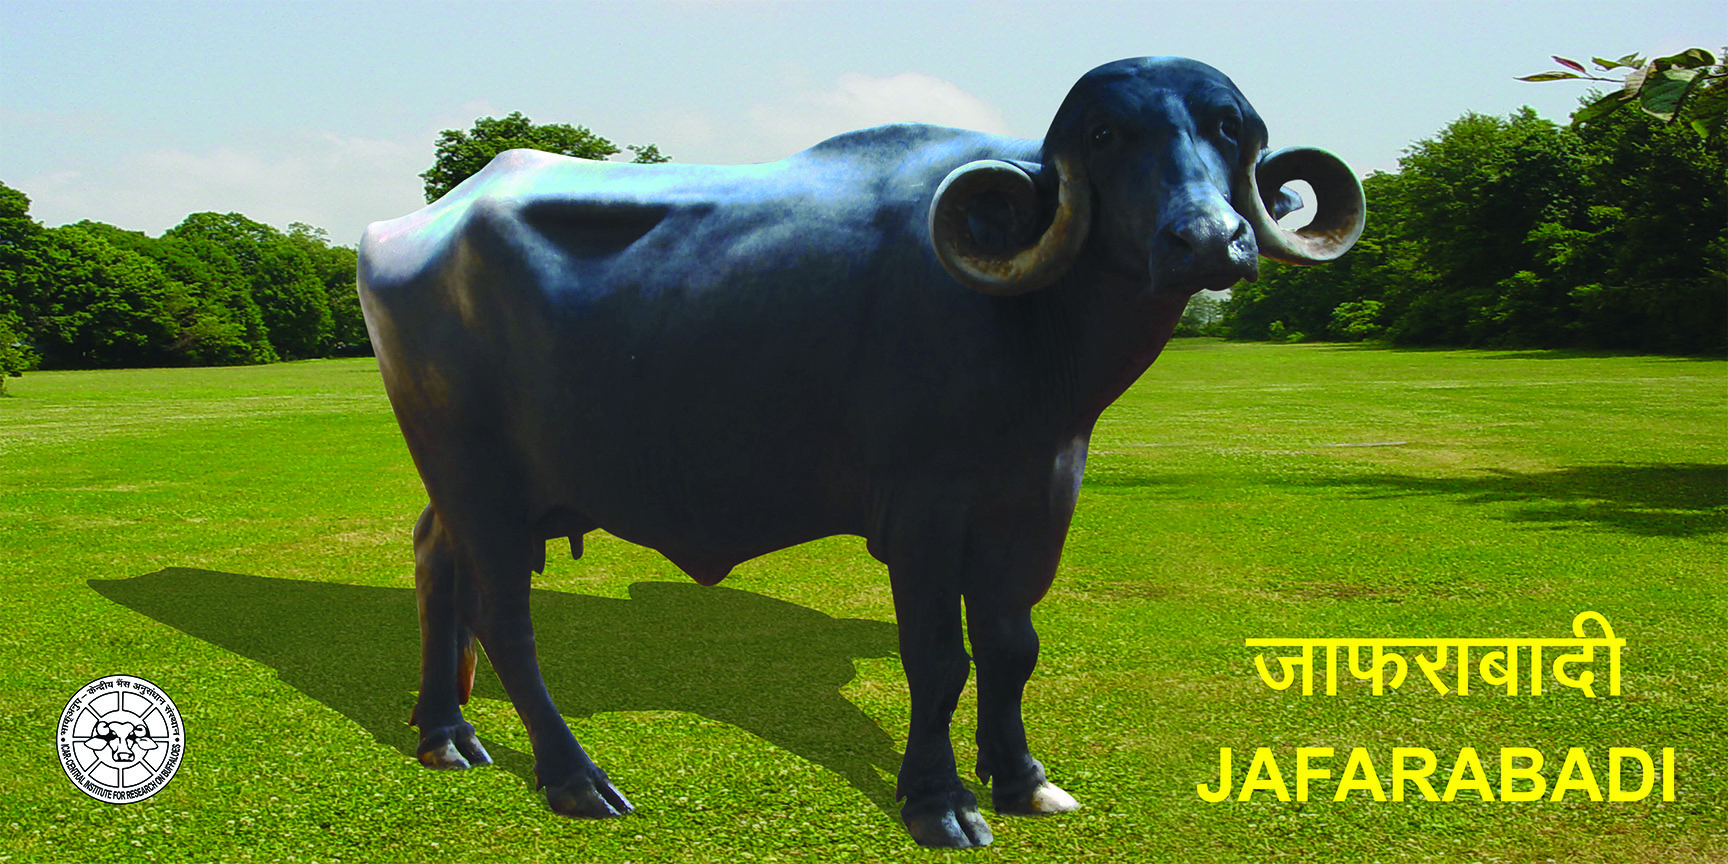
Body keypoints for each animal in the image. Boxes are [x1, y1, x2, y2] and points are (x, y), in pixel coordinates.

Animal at [358, 56, 1363, 848]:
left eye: (1228, 128)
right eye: (1109, 133)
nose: (1209, 241)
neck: (1031, 327)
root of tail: (403, 229)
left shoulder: (1036, 499)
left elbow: (1012, 645)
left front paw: (1023, 777)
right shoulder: (923, 510)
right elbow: (939, 656)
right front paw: (940, 802)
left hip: (466, 485)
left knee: (433, 562)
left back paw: (444, 733)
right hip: (479, 479)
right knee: (504, 619)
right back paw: (576, 780)